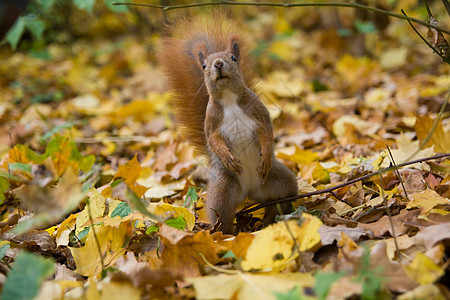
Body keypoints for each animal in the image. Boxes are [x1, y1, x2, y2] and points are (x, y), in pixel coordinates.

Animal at [158, 14, 298, 234]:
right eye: (204, 65)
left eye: (233, 58)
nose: (217, 64)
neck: (229, 98)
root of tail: (250, 191)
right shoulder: (211, 122)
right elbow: (213, 140)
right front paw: (226, 156)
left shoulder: (259, 112)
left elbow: (267, 132)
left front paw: (266, 153)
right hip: (222, 192)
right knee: (221, 217)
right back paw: (228, 235)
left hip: (281, 181)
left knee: (282, 198)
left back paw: (270, 219)